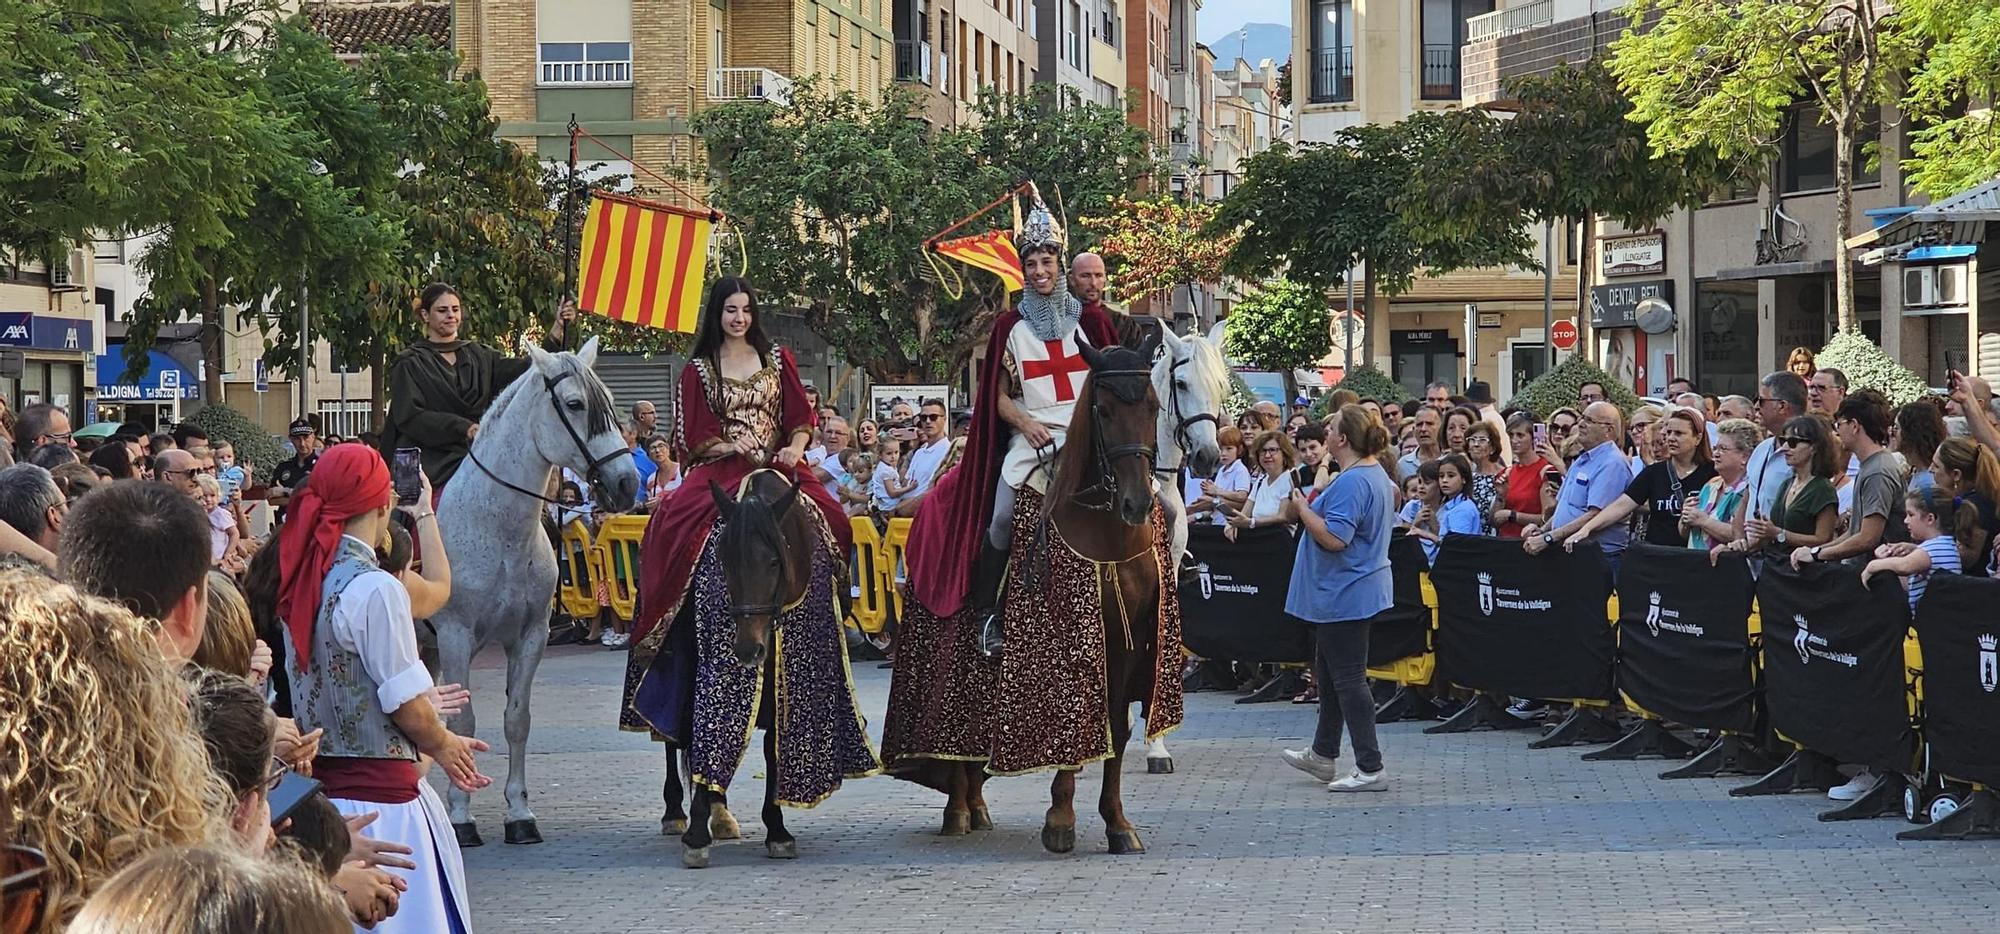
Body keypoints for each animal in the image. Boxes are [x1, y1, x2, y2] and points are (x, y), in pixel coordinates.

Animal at [436, 338, 640, 848]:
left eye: (610, 401)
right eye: (575, 404)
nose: (627, 483)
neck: (497, 528)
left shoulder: (531, 637)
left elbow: (517, 720)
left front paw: (519, 813)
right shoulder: (454, 636)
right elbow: (462, 722)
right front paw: (461, 816)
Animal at [936, 336, 1168, 856]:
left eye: (1152, 405)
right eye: (1103, 410)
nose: (1137, 503)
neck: (1105, 532)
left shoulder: (1127, 640)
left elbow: (1116, 727)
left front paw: (1117, 822)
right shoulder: (1071, 636)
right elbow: (1070, 719)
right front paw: (1060, 818)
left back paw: (976, 806)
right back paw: (958, 809)